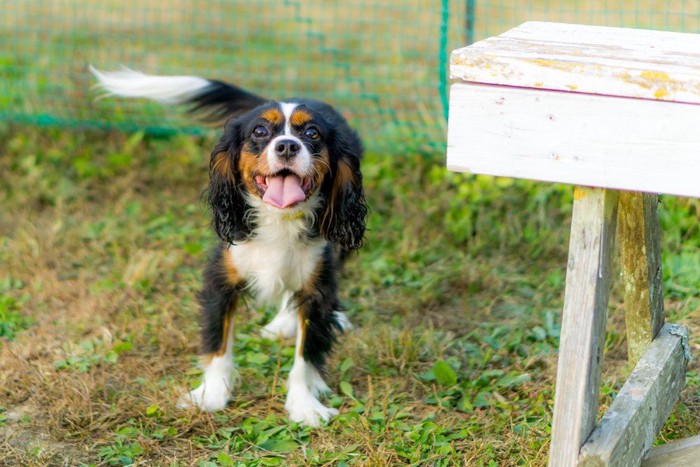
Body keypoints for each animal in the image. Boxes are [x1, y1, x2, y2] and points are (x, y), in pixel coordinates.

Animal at [89, 66, 366, 428]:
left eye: (313, 133)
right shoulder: (221, 279)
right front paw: (211, 395)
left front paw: (304, 405)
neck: (279, 219)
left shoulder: (318, 285)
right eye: (260, 131)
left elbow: (306, 357)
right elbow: (218, 343)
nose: (287, 146)